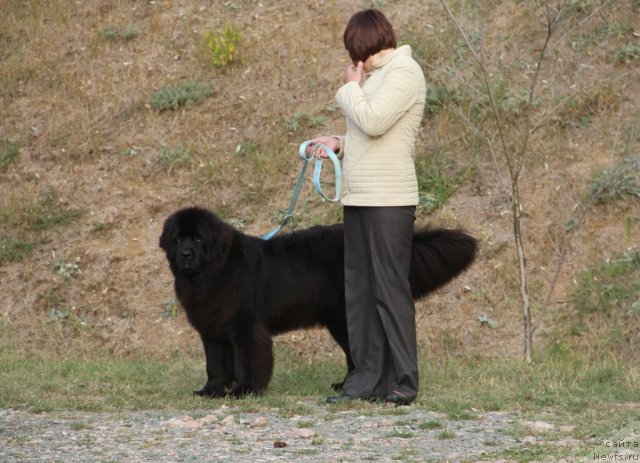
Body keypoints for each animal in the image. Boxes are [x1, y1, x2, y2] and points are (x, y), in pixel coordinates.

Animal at [159, 207, 478, 398]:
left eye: (198, 240)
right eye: (178, 239)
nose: (185, 255)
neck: (214, 272)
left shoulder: (246, 327)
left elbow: (249, 361)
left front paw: (245, 390)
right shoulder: (212, 329)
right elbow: (215, 365)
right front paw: (210, 390)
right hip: (339, 321)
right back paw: (346, 385)